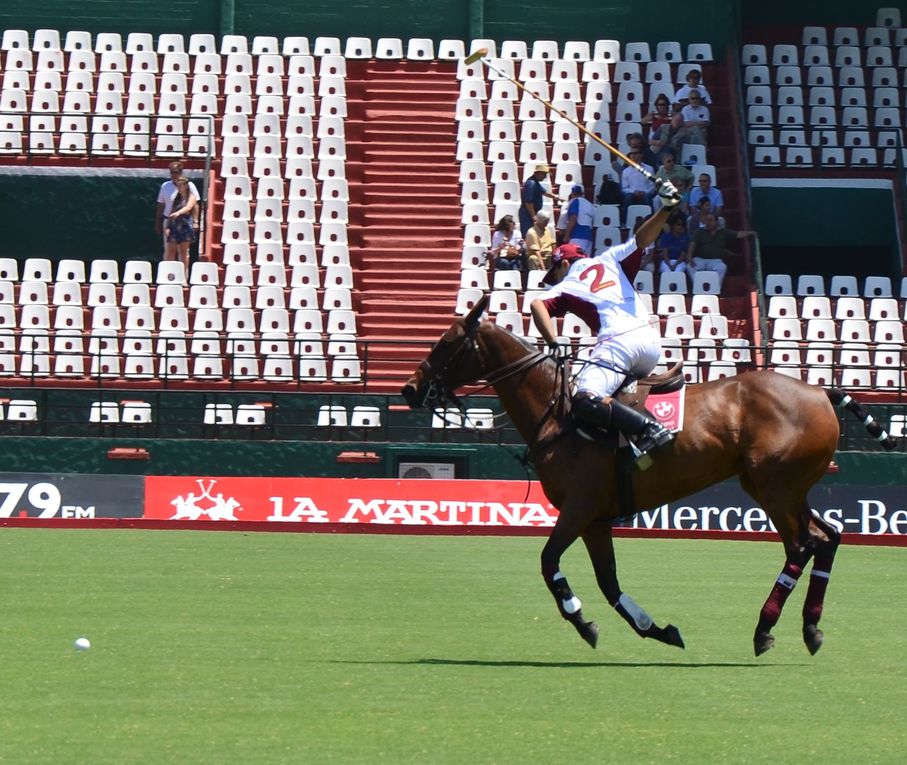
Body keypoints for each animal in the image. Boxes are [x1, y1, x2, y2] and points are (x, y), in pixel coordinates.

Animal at [400, 296, 896, 652]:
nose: (409, 389)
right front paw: (656, 628)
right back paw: (810, 629)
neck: (557, 413)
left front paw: (581, 619)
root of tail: (819, 391)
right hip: (778, 486)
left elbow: (549, 562)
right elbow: (609, 583)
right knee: (827, 537)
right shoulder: (596, 520)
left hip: (775, 486)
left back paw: (764, 628)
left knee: (802, 545)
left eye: (446, 343)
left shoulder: (579, 508)